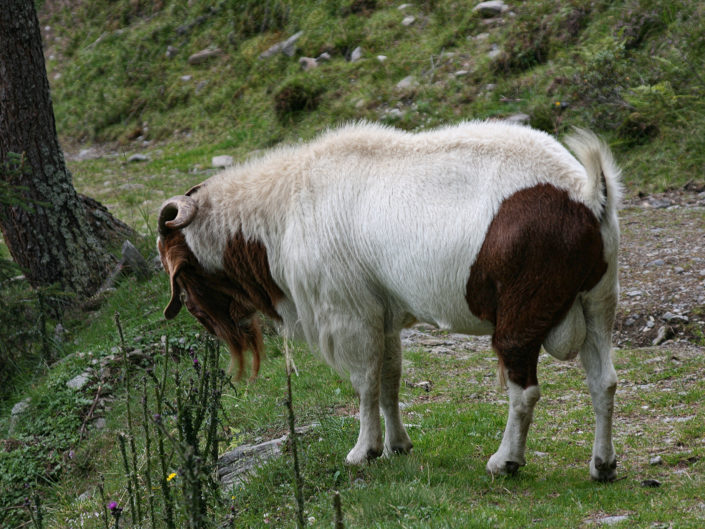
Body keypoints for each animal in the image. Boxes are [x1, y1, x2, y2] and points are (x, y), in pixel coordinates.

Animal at [157, 121, 621, 481]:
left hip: (522, 314)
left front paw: (364, 450)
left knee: (524, 391)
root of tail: (586, 193)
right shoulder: (382, 314)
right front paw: (397, 444)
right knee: (604, 381)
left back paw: (505, 461)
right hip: (599, 302)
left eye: (182, 276)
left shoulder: (350, 313)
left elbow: (365, 381)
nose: (206, 320)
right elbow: (389, 377)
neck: (284, 208)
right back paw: (602, 465)